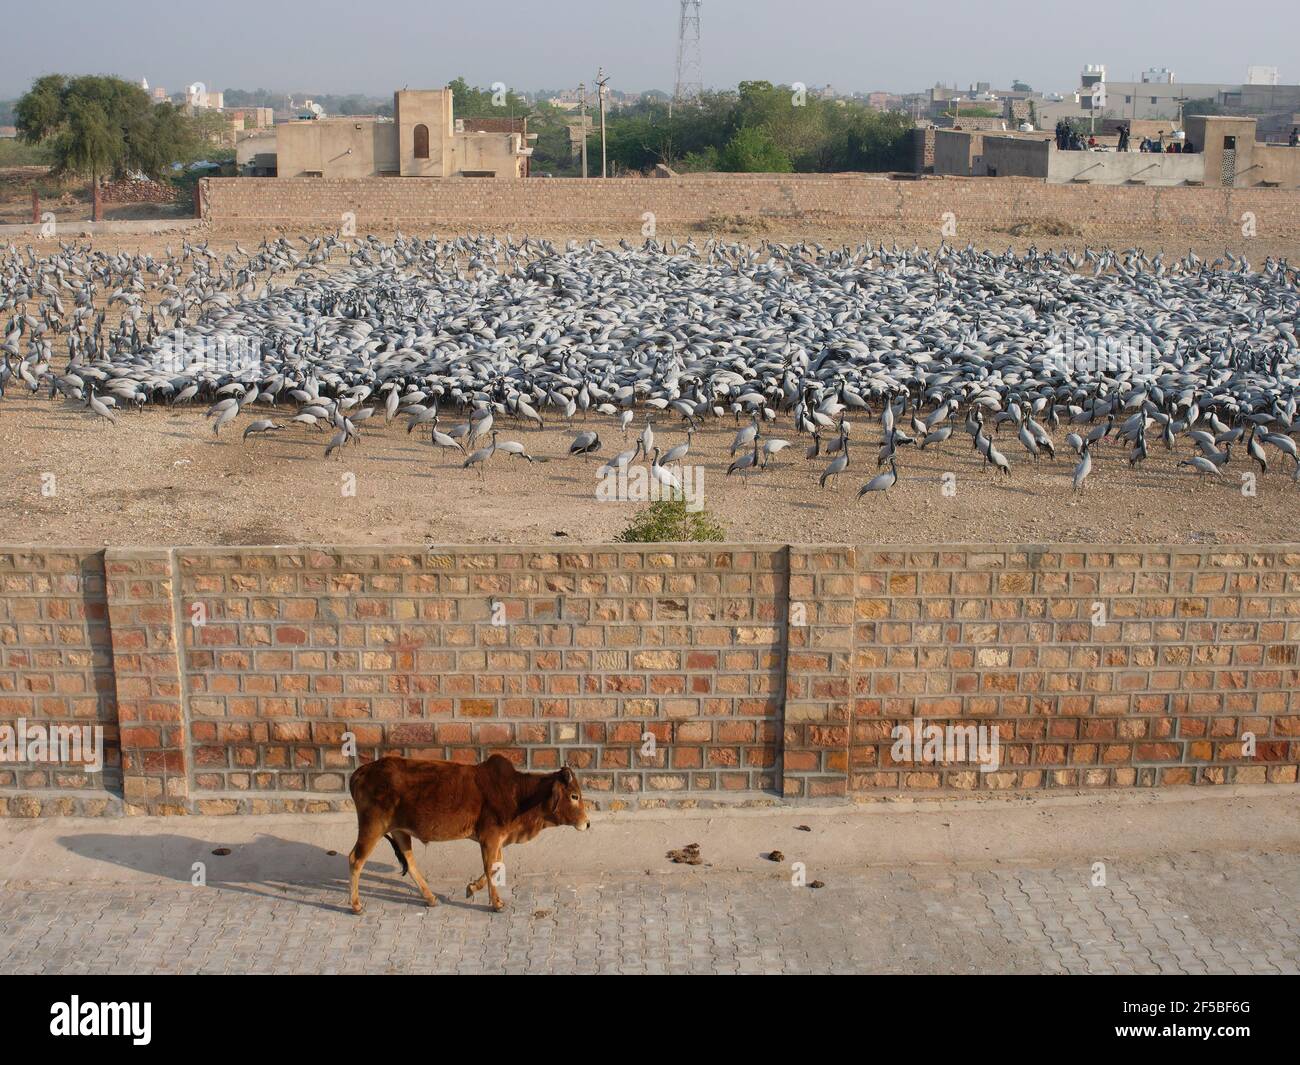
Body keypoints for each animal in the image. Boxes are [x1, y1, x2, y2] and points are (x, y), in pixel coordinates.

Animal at [345, 754, 590, 910]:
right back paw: (356, 905)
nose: (587, 824)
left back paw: (431, 898)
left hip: (399, 831)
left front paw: (471, 888)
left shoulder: (498, 838)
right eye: (574, 796)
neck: (518, 794)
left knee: (410, 863)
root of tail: (360, 772)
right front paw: (496, 903)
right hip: (372, 826)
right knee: (355, 859)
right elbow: (491, 867)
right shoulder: (489, 837)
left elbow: (496, 866)